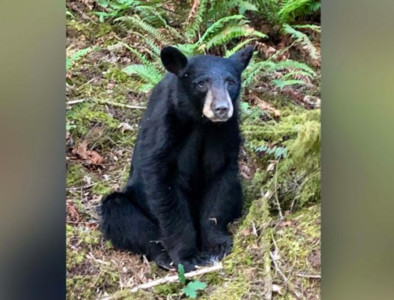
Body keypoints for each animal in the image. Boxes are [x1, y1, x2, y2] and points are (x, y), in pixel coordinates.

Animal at [100, 45, 254, 272]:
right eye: (201, 83)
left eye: (231, 82)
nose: (221, 108)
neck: (201, 122)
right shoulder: (165, 129)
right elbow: (164, 187)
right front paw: (187, 256)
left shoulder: (225, 133)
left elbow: (220, 180)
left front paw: (216, 245)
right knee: (120, 213)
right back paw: (163, 255)